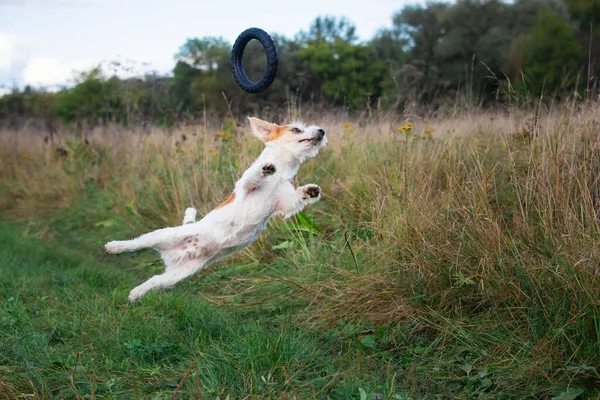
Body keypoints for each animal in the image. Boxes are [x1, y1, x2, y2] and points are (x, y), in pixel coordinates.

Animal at [104, 117, 328, 302]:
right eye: (296, 129)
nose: (321, 130)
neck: (281, 173)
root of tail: (174, 255)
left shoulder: (284, 203)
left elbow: (296, 199)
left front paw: (310, 190)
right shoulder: (245, 188)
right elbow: (253, 177)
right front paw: (265, 168)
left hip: (177, 275)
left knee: (154, 280)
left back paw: (136, 293)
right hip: (161, 236)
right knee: (136, 243)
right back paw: (114, 246)